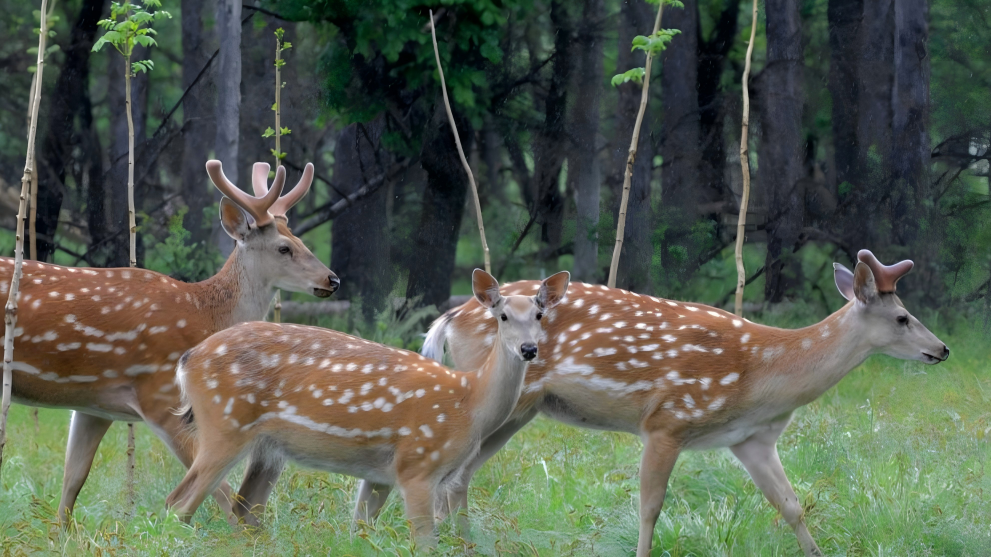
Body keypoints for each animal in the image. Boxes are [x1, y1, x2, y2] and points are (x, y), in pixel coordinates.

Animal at [0, 159, 339, 523]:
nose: (332, 279)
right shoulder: (160, 396)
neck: (205, 315)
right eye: (284, 248)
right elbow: (219, 492)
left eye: (300, 240)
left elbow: (72, 481)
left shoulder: (95, 403)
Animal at [164, 269, 570, 543]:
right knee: (178, 503)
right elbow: (425, 541)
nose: (528, 349)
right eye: (503, 316)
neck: (469, 401)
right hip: (224, 424)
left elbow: (359, 530)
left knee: (243, 510)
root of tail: (187, 360)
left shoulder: (380, 474)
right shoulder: (417, 465)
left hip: (265, 448)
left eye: (539, 315)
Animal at [419, 250, 949, 557]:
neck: (762, 378)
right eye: (902, 317)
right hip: (504, 399)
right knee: (450, 474)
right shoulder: (668, 419)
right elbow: (650, 507)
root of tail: (451, 317)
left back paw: (464, 544)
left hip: (521, 409)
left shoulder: (751, 439)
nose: (941, 349)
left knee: (459, 477)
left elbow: (792, 504)